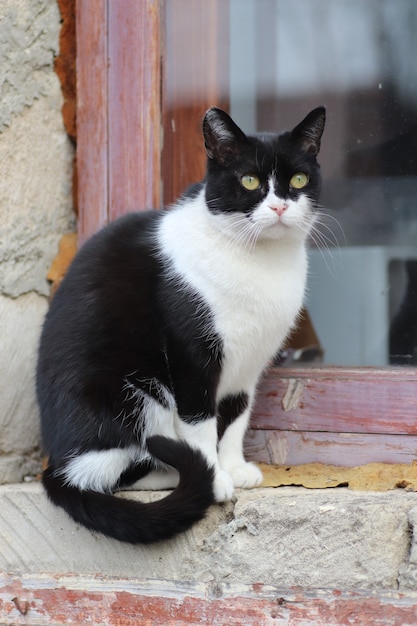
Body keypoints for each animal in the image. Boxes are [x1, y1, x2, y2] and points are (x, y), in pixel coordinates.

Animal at [36, 106, 324, 540]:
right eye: (249, 180)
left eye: (299, 180)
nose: (278, 208)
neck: (261, 261)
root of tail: (57, 465)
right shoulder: (192, 353)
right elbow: (200, 422)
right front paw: (216, 479)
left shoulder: (249, 362)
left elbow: (236, 416)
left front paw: (234, 467)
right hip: (133, 394)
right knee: (114, 471)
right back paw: (179, 476)